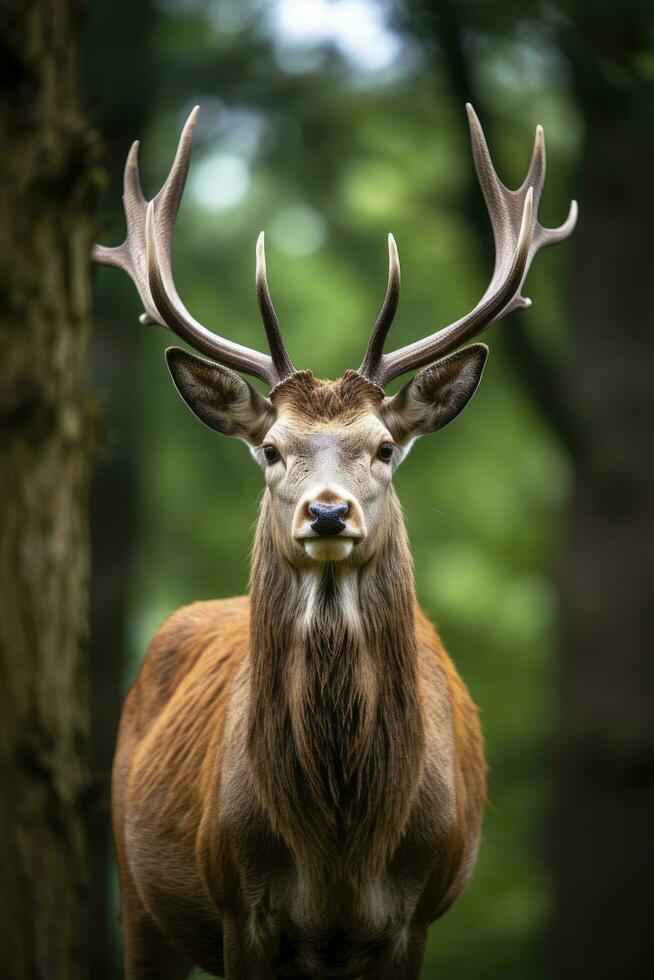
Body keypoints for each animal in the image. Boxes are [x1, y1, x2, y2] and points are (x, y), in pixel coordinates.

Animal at [95, 103, 576, 976]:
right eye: (270, 448)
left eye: (383, 446)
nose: (326, 515)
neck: (341, 854)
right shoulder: (239, 905)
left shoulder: (416, 914)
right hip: (136, 895)